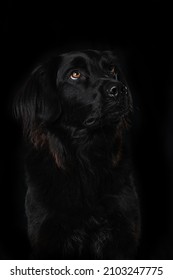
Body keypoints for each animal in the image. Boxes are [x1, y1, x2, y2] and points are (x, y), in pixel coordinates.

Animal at [13, 49, 141, 260]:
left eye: (111, 69)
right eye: (75, 74)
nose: (120, 89)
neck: (86, 161)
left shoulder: (122, 232)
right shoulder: (47, 234)